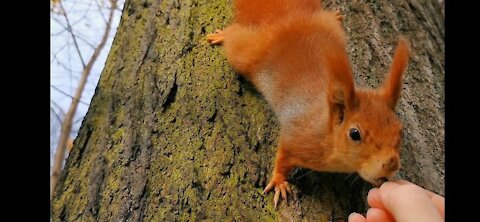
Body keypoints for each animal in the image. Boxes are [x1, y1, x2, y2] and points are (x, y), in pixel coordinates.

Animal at [206, 0, 408, 208]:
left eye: (400, 131)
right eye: (354, 134)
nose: (391, 164)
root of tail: (288, 18)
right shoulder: (298, 138)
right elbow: (283, 158)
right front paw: (279, 181)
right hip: (248, 53)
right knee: (236, 40)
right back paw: (223, 35)